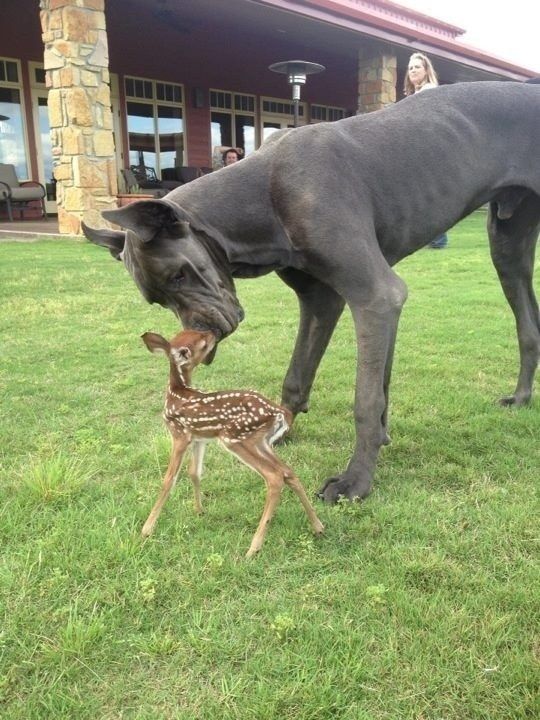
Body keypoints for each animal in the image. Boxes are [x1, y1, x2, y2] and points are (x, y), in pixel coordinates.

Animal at [82, 81, 536, 504]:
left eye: (179, 275)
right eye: (158, 299)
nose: (197, 341)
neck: (263, 193)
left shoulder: (376, 296)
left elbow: (366, 399)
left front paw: (357, 480)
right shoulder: (323, 300)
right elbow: (302, 376)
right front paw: (281, 430)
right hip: (507, 248)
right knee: (529, 326)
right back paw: (521, 398)